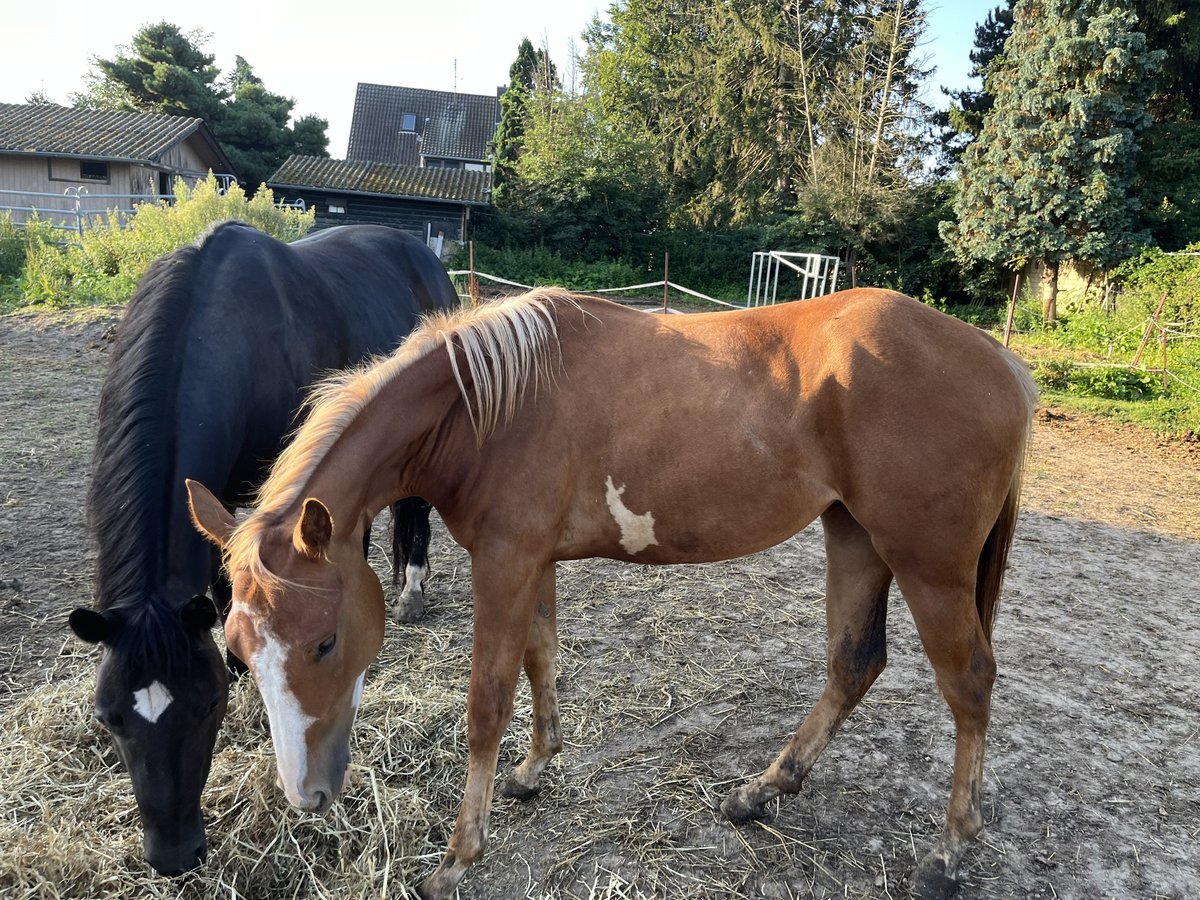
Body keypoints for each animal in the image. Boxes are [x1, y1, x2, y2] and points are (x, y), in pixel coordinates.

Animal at [189, 290, 1041, 900]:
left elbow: (486, 702)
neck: (488, 405)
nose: (305, 796)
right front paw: (535, 769)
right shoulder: (532, 562)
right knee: (853, 662)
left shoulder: (505, 562)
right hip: (855, 537)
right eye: (238, 653)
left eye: (326, 641)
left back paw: (948, 852)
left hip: (928, 566)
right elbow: (540, 659)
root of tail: (1000, 364)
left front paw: (459, 857)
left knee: (968, 686)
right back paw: (764, 790)